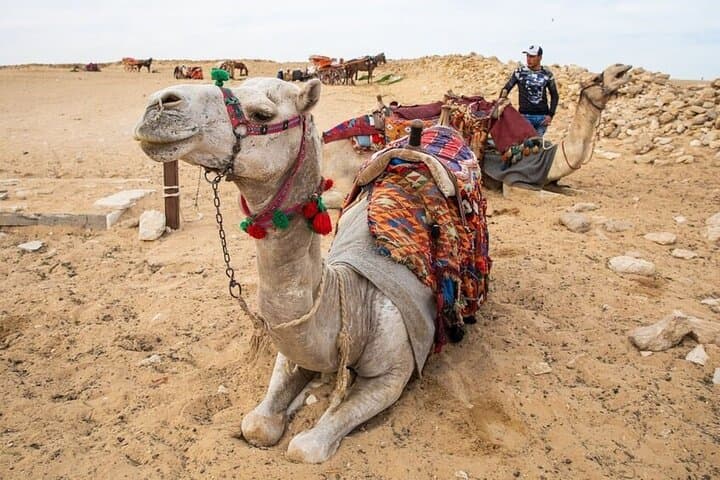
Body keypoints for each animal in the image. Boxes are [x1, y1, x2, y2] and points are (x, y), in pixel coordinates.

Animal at [134, 78, 442, 463]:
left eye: (263, 114)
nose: (158, 104)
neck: (350, 298)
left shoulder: (394, 373)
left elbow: (305, 447)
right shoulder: (293, 348)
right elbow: (255, 425)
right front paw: (294, 401)